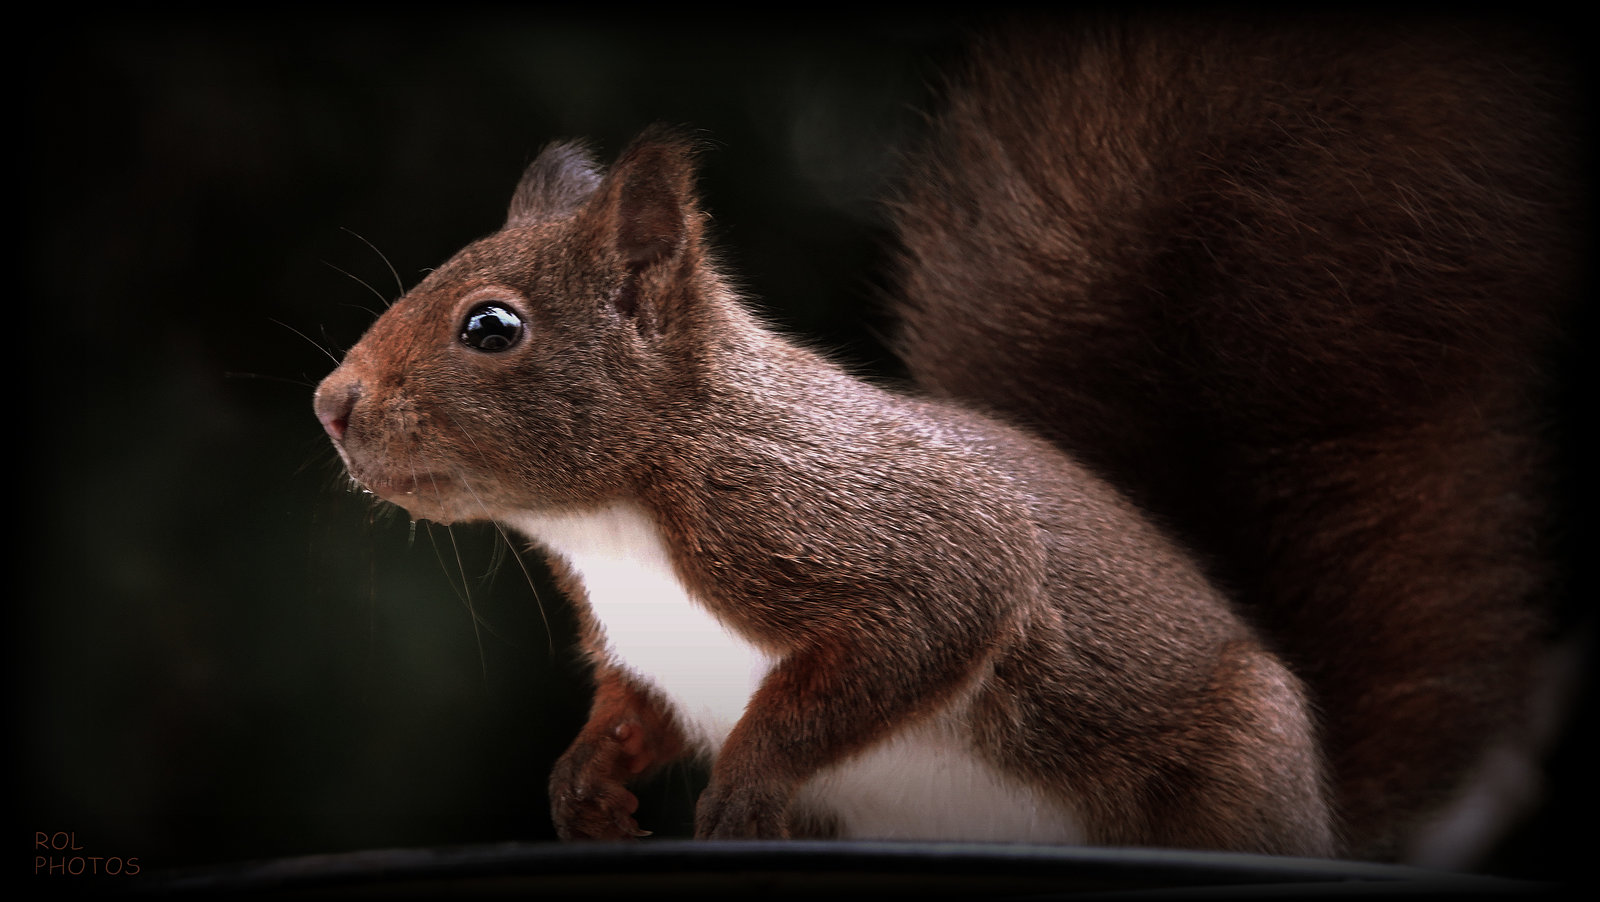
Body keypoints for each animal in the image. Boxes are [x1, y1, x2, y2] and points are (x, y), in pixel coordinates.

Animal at [308, 12, 1574, 857]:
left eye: (490, 326)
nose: (330, 402)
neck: (611, 519)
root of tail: (1328, 812)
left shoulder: (871, 532)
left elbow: (911, 632)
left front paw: (742, 793)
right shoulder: (648, 649)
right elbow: (635, 710)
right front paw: (585, 785)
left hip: (1228, 767)